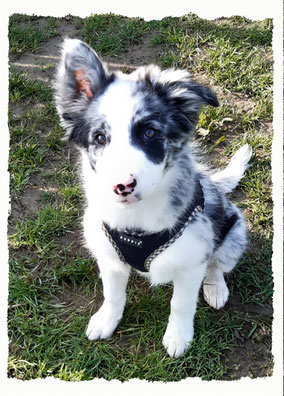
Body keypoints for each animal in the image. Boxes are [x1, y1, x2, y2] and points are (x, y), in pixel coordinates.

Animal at [53, 38, 251, 358]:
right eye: (99, 138)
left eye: (149, 132)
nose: (122, 185)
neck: (137, 220)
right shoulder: (109, 258)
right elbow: (112, 294)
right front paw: (106, 320)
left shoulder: (191, 262)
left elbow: (181, 303)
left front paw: (179, 337)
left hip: (234, 235)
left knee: (217, 265)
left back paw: (216, 289)